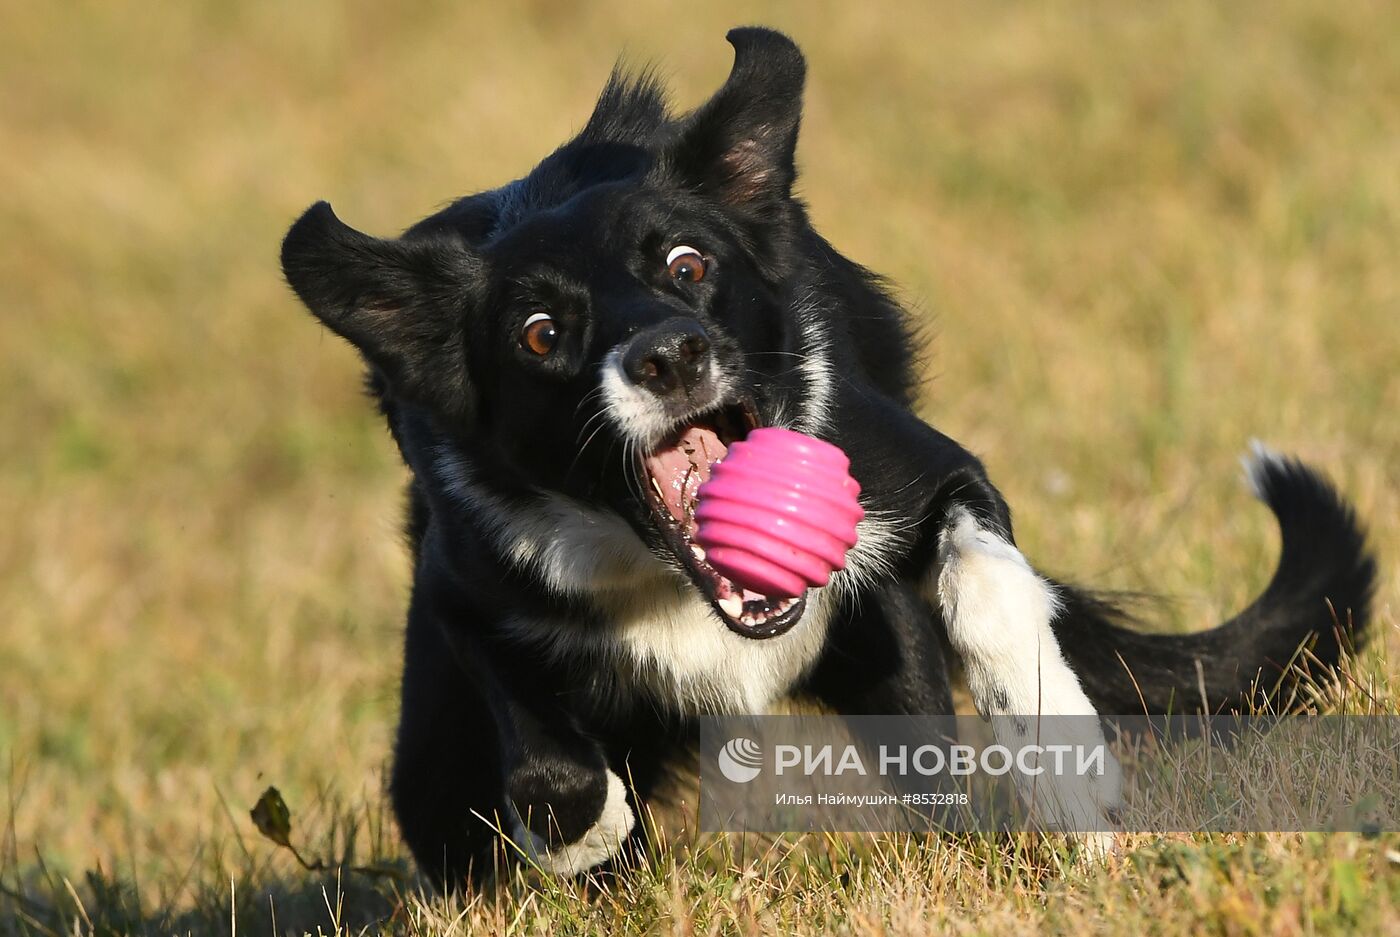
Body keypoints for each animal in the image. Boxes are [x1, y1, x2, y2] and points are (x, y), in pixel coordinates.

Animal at [278, 29, 1372, 890]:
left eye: (687, 265)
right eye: (539, 332)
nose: (669, 355)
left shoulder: (925, 477)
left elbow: (984, 582)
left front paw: (1067, 781)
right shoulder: (464, 579)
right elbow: (536, 731)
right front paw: (581, 828)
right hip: (431, 762)